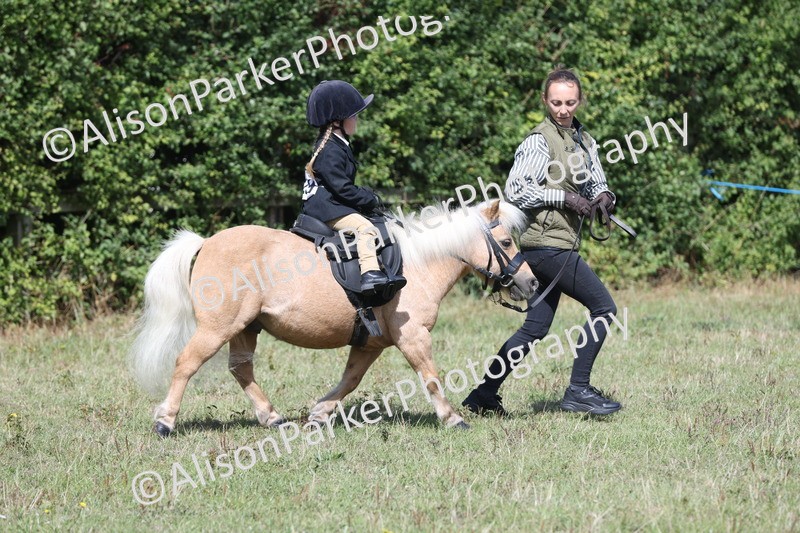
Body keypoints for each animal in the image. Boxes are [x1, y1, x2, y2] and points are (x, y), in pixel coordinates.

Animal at [130, 200, 538, 436]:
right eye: (505, 243)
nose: (532, 283)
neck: (418, 264)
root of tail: (206, 242)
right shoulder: (413, 337)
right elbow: (431, 379)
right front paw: (453, 418)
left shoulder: (371, 343)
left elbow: (350, 381)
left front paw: (319, 414)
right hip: (218, 328)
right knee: (186, 363)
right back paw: (165, 422)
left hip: (246, 328)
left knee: (241, 368)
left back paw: (272, 417)